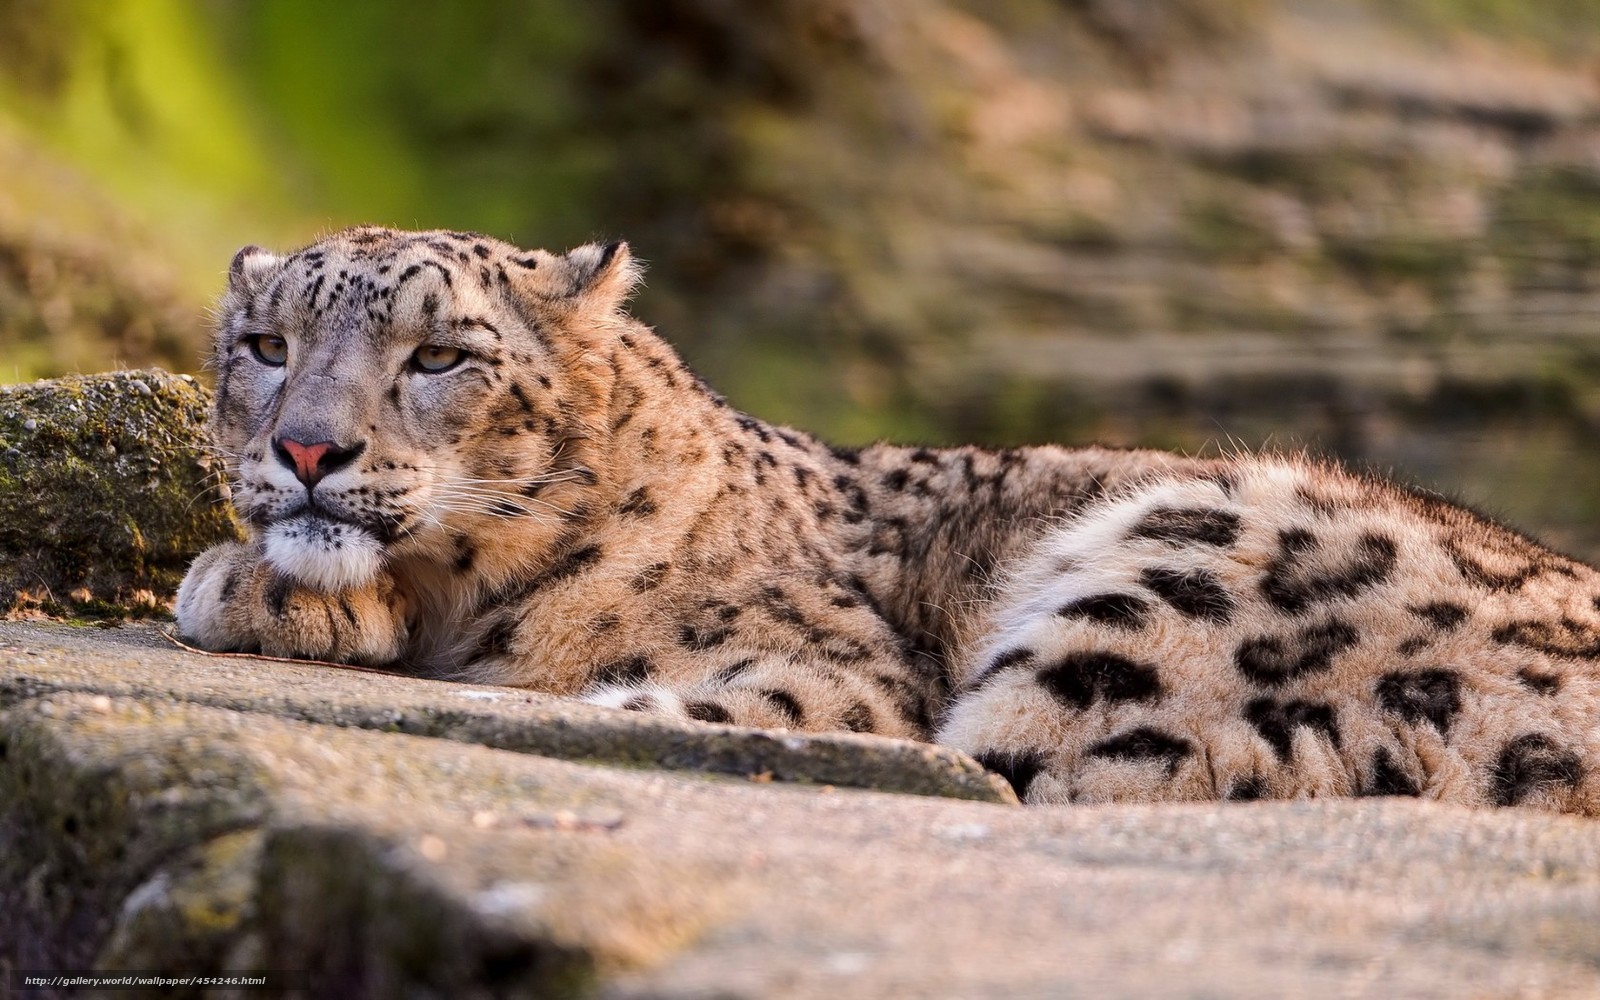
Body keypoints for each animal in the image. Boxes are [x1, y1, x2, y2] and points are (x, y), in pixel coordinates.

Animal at [177, 226, 1600, 815]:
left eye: (439, 355)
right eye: (265, 344)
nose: (309, 447)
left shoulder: (831, 668)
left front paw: (236, 587)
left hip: (1174, 574)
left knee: (996, 760)